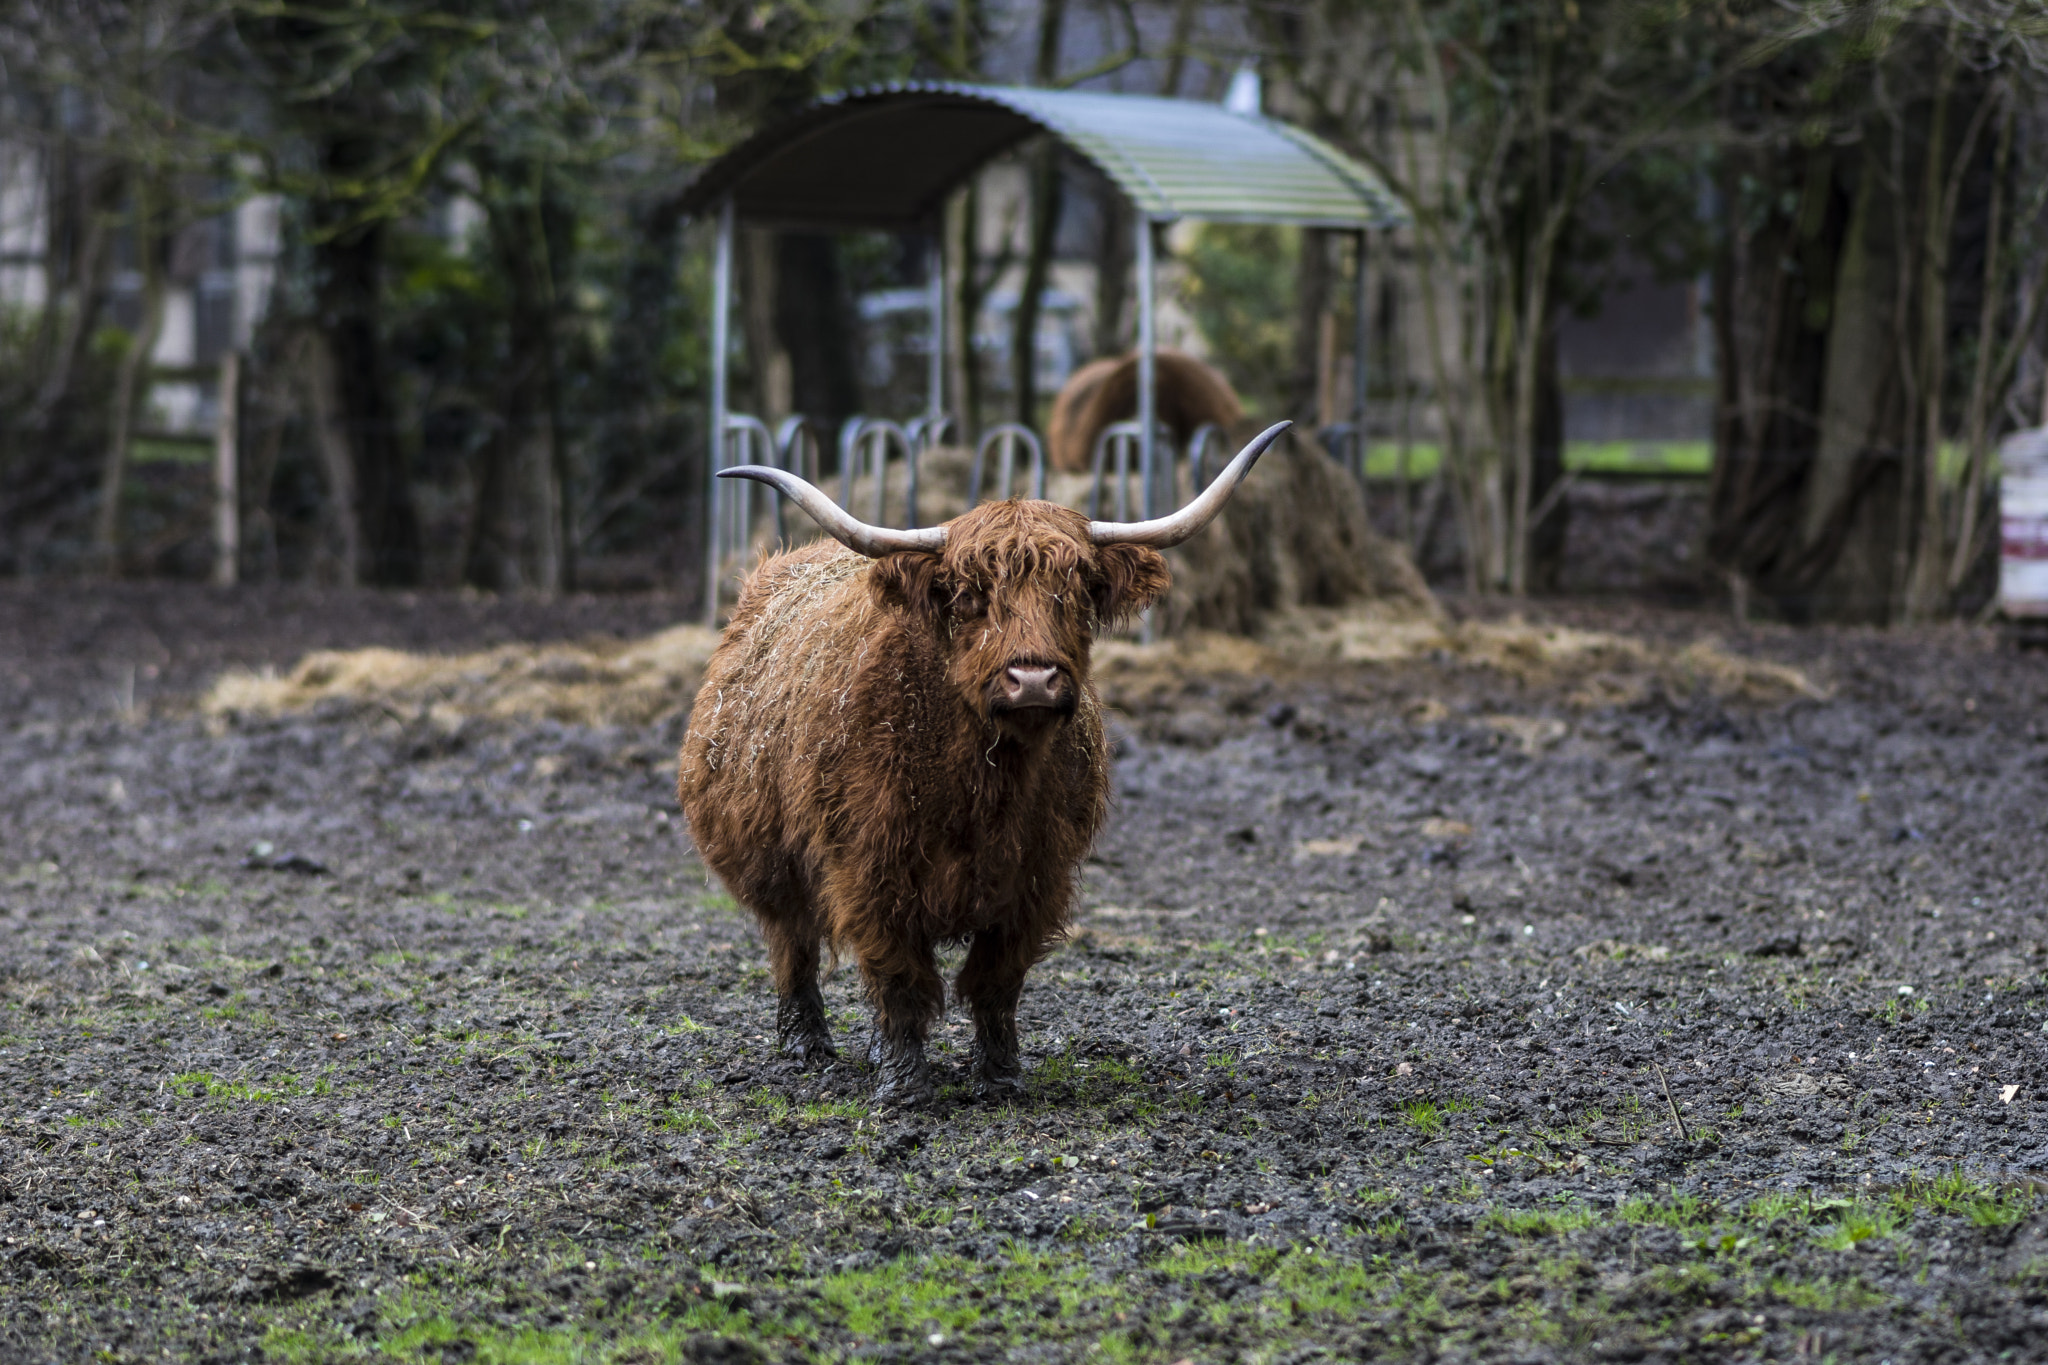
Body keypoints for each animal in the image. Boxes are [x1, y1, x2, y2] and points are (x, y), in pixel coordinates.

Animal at [679, 421, 1286, 1105]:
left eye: (1075, 589)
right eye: (971, 594)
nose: (1034, 679)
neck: (982, 786)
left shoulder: (1038, 876)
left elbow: (997, 979)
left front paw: (999, 1076)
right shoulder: (866, 866)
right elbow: (898, 974)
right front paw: (905, 1082)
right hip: (768, 862)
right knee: (794, 947)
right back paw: (806, 1045)